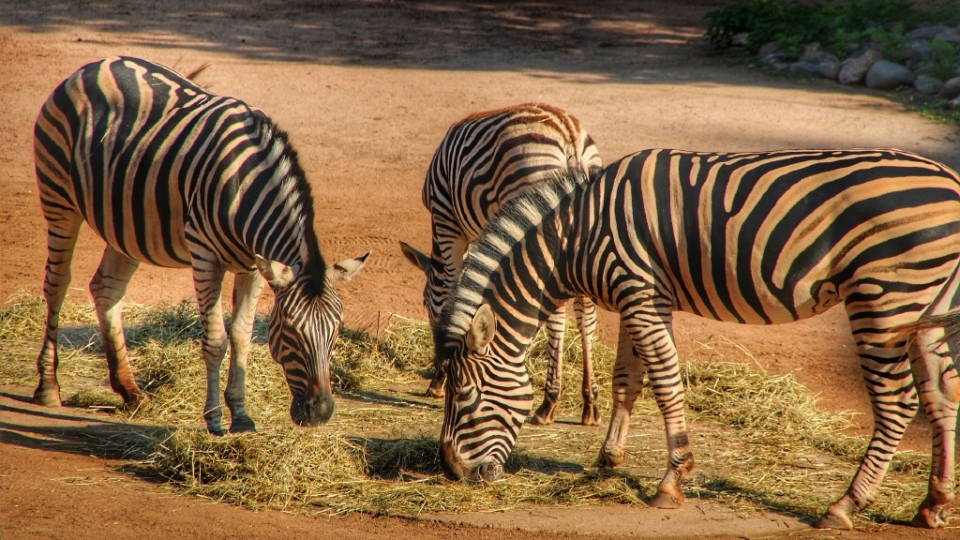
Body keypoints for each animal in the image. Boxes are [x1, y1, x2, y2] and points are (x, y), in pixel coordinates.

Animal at [33, 56, 372, 434]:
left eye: (336, 330)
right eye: (291, 332)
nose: (321, 413)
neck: (246, 189)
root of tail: (95, 64)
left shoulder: (255, 267)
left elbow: (242, 336)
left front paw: (241, 416)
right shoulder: (206, 257)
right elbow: (216, 341)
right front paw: (213, 419)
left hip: (125, 222)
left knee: (107, 289)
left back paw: (130, 391)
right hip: (58, 198)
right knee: (57, 284)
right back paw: (48, 386)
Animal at [396, 103, 600, 426]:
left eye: (425, 305)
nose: (438, 370)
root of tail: (568, 132)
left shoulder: (447, 223)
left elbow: (455, 289)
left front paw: (443, 378)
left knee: (557, 314)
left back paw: (549, 402)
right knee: (586, 314)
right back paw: (590, 403)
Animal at [438, 149, 960, 532]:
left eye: (465, 396)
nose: (453, 473)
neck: (575, 236)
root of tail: (949, 178)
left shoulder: (642, 292)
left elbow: (665, 383)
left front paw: (671, 481)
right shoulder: (635, 296)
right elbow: (626, 380)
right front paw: (608, 458)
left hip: (884, 299)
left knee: (897, 403)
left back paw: (845, 504)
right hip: (926, 308)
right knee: (942, 395)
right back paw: (933, 505)